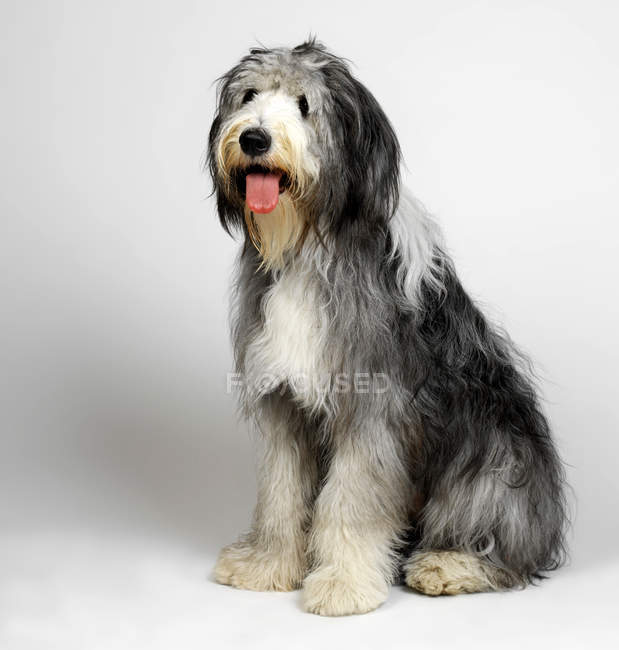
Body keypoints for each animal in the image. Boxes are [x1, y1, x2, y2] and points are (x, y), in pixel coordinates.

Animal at [207, 38, 568, 616]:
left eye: (305, 105)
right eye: (249, 95)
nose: (254, 138)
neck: (308, 245)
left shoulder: (372, 404)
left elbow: (352, 499)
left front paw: (342, 584)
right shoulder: (285, 402)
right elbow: (281, 491)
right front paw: (267, 565)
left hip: (494, 461)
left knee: (506, 553)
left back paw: (449, 566)